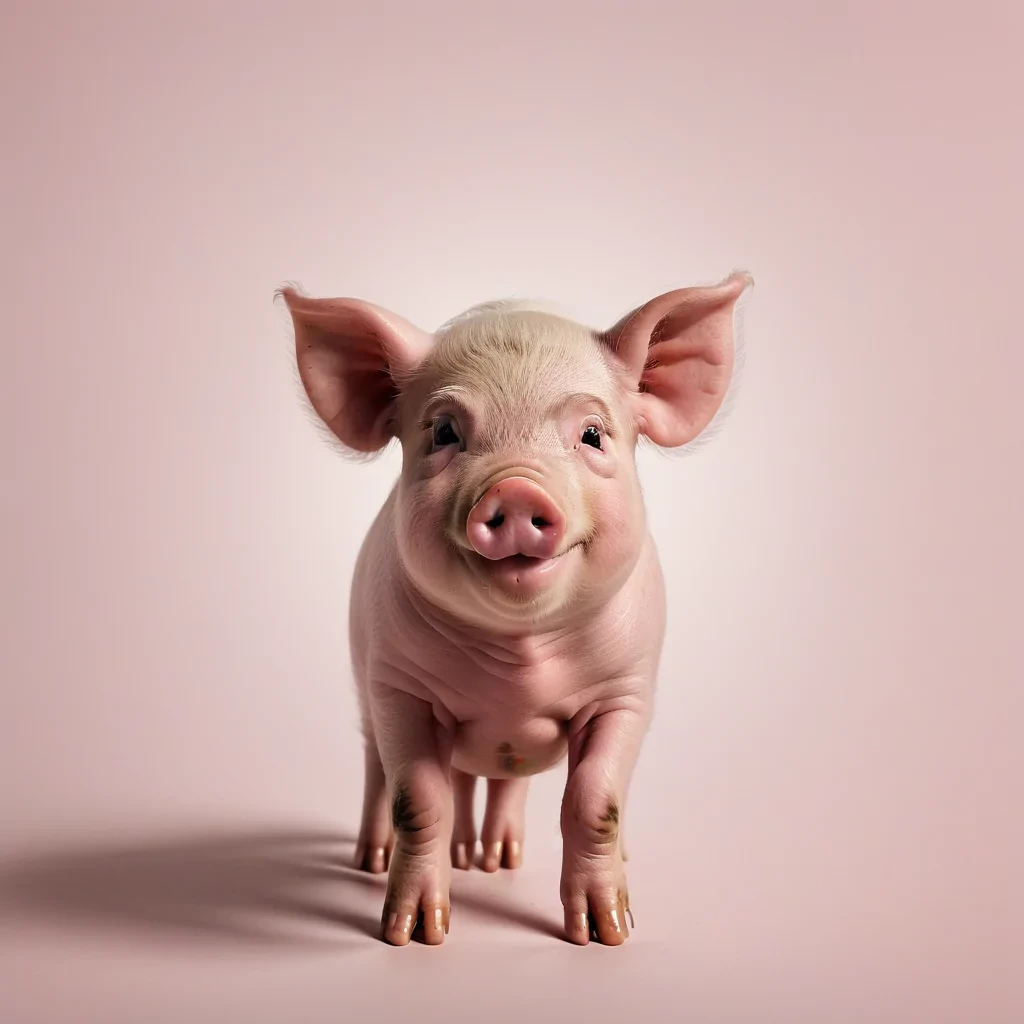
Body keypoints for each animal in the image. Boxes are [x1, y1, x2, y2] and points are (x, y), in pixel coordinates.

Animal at [279, 271, 752, 947]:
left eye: (592, 435)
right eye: (444, 432)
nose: (517, 489)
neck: (520, 663)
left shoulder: (627, 691)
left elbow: (595, 800)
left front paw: (605, 934)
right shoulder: (396, 687)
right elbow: (417, 800)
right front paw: (413, 935)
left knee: (504, 778)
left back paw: (496, 861)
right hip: (361, 681)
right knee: (383, 770)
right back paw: (379, 860)